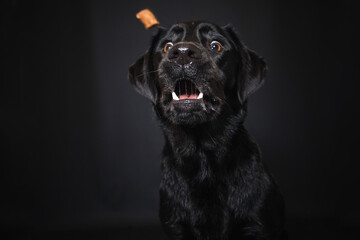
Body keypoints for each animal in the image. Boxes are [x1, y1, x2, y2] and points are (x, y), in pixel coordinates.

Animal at [129, 21, 286, 240]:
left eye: (215, 46)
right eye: (167, 46)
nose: (182, 53)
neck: (202, 156)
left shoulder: (257, 225)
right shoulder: (176, 226)